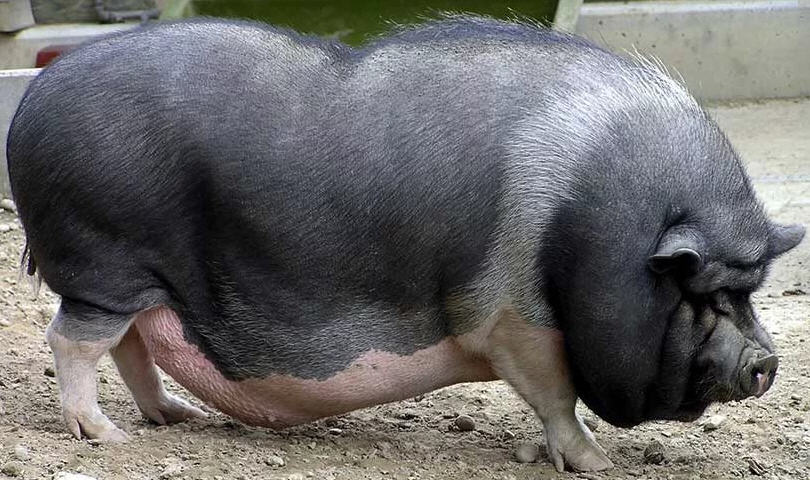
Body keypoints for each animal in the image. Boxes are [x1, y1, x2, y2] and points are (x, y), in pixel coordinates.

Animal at [5, 15, 804, 472]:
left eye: (750, 291)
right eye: (706, 292)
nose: (765, 361)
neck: (586, 223)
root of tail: (33, 101)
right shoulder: (512, 318)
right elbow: (555, 396)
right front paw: (599, 463)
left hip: (140, 277)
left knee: (133, 345)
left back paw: (175, 419)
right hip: (102, 258)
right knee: (73, 341)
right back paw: (105, 438)